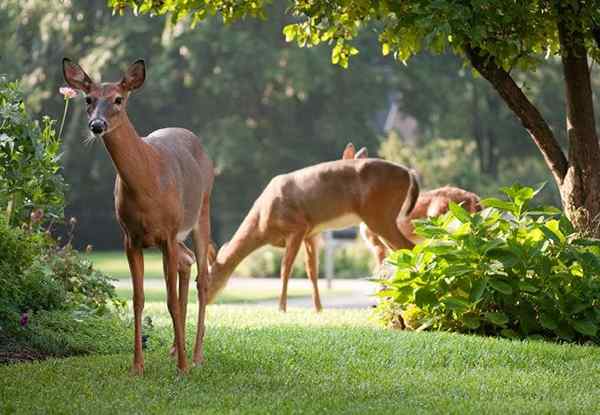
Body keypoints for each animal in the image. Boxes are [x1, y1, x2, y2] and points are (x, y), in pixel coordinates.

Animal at [62, 57, 213, 374]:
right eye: (88, 99)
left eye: (119, 99)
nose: (97, 125)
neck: (147, 184)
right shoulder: (130, 238)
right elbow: (138, 300)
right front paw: (137, 367)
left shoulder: (168, 233)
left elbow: (169, 300)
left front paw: (182, 368)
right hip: (173, 235)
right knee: (187, 261)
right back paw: (175, 348)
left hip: (201, 210)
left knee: (203, 278)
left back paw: (195, 356)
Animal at [206, 145, 418, 312]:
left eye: (206, 278)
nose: (205, 301)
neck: (262, 225)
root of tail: (408, 172)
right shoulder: (312, 233)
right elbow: (312, 271)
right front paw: (318, 309)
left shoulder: (298, 227)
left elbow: (285, 268)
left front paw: (281, 308)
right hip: (380, 218)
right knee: (399, 252)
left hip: (379, 215)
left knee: (409, 247)